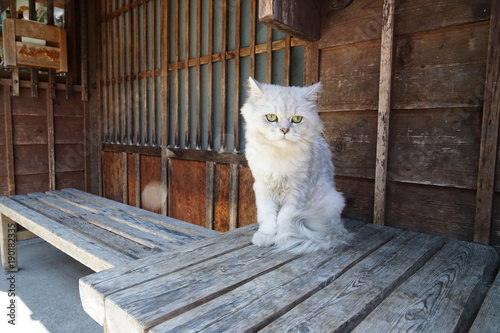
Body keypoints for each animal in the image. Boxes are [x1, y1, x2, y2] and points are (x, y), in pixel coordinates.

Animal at [241, 78, 344, 253]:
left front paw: (285, 239)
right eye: (271, 117)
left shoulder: (297, 191)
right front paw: (265, 237)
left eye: (297, 119)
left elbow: (284, 219)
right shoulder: (262, 187)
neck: (279, 156)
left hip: (332, 200)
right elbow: (267, 217)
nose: (284, 130)